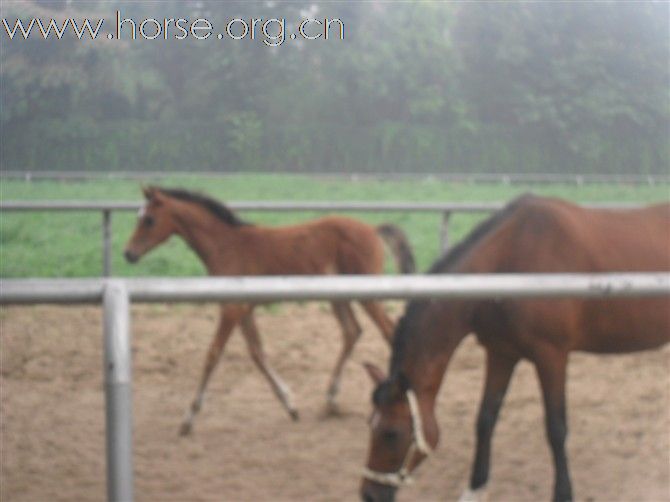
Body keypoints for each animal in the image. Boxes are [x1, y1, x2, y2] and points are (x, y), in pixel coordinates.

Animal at [122, 187, 414, 436]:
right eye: (138, 217)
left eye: (149, 219)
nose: (128, 254)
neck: (227, 245)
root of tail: (372, 229)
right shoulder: (244, 310)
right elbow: (257, 353)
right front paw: (291, 406)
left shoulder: (231, 309)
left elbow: (213, 355)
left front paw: (188, 419)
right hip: (338, 297)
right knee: (352, 331)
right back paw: (331, 400)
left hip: (367, 294)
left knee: (387, 330)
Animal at [362, 195, 670, 502]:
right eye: (370, 426)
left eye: (391, 433)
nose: (369, 494)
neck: (509, 257)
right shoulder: (501, 354)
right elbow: (485, 419)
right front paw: (475, 488)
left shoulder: (551, 357)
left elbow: (556, 428)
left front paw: (563, 493)